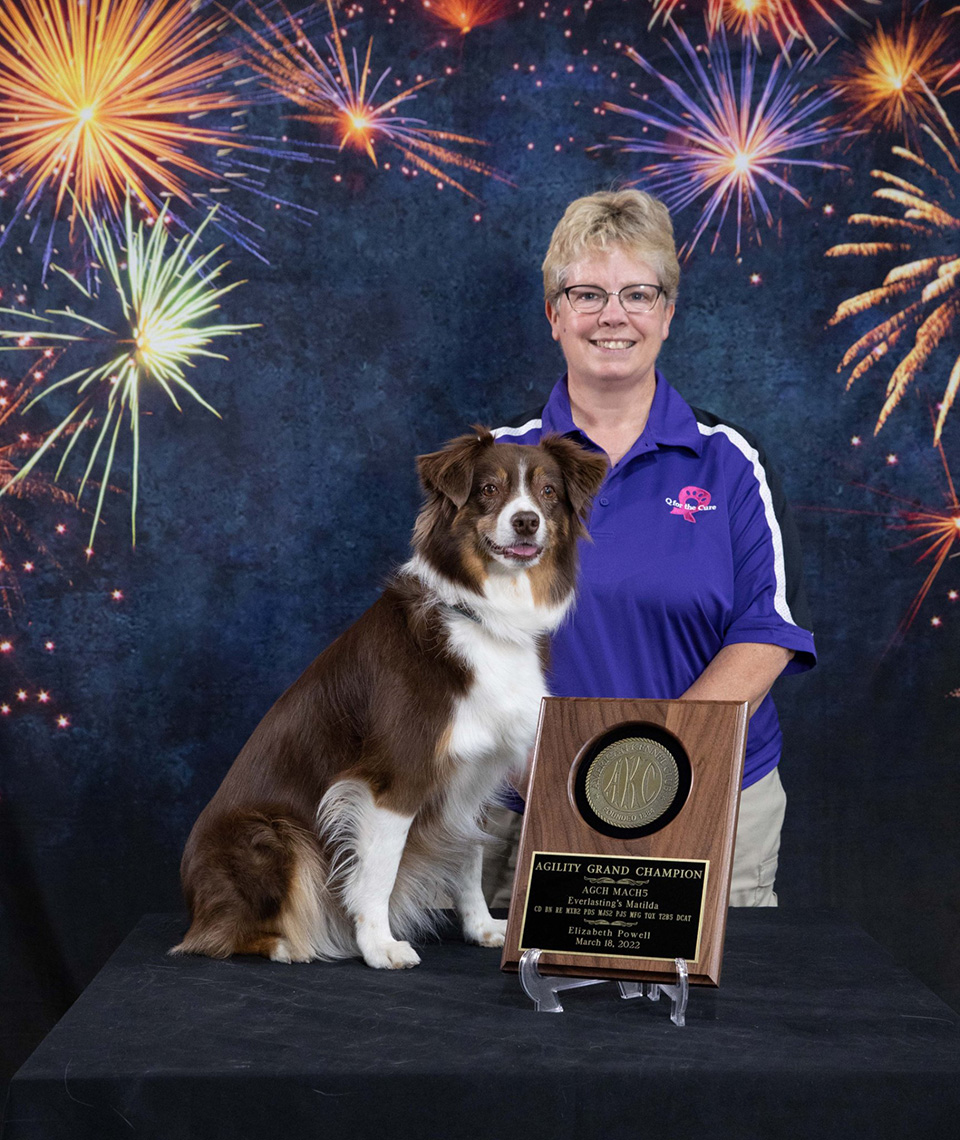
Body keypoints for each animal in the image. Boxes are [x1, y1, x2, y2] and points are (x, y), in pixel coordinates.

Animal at [173, 430, 606, 966]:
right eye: (488, 489)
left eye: (548, 492)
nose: (526, 521)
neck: (482, 614)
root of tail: (193, 900)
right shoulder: (396, 777)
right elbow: (378, 871)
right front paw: (379, 945)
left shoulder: (474, 776)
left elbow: (468, 854)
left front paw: (481, 927)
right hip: (272, 834)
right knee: (218, 934)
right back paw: (287, 943)